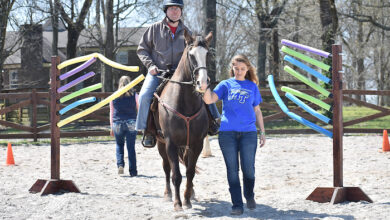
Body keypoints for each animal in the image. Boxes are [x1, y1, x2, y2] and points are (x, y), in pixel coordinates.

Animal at [152, 30, 213, 211]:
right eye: (191, 55)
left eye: (207, 54)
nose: (202, 83)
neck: (184, 102)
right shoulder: (170, 143)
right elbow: (176, 175)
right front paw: (178, 203)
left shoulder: (196, 143)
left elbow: (190, 172)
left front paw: (187, 199)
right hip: (161, 144)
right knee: (166, 168)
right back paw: (168, 194)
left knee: (186, 165)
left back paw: (191, 193)